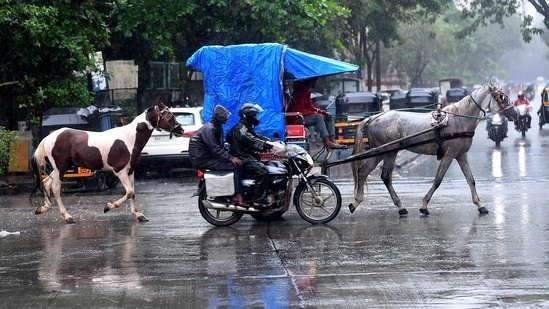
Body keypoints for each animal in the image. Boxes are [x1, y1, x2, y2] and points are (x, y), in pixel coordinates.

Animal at [31, 102, 182, 223]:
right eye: (168, 114)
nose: (180, 129)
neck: (130, 139)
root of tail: (49, 137)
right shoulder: (120, 172)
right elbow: (129, 192)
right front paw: (107, 207)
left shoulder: (131, 172)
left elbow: (133, 192)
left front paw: (139, 215)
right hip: (60, 167)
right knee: (56, 188)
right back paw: (68, 217)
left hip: (59, 168)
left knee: (46, 183)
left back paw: (43, 208)